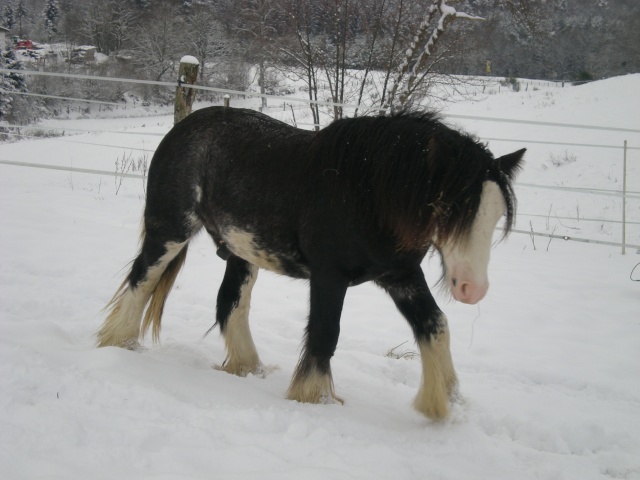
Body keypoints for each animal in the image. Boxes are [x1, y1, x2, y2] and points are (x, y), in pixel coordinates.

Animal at [97, 108, 524, 420]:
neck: (366, 192)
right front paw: (312, 397)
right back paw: (119, 343)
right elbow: (324, 333)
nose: (473, 289)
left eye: (496, 214)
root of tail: (182, 128)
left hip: (241, 253)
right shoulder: (329, 277)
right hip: (170, 230)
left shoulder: (401, 275)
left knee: (230, 305)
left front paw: (440, 402)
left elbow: (436, 327)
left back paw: (249, 368)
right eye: (452, 209)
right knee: (141, 279)